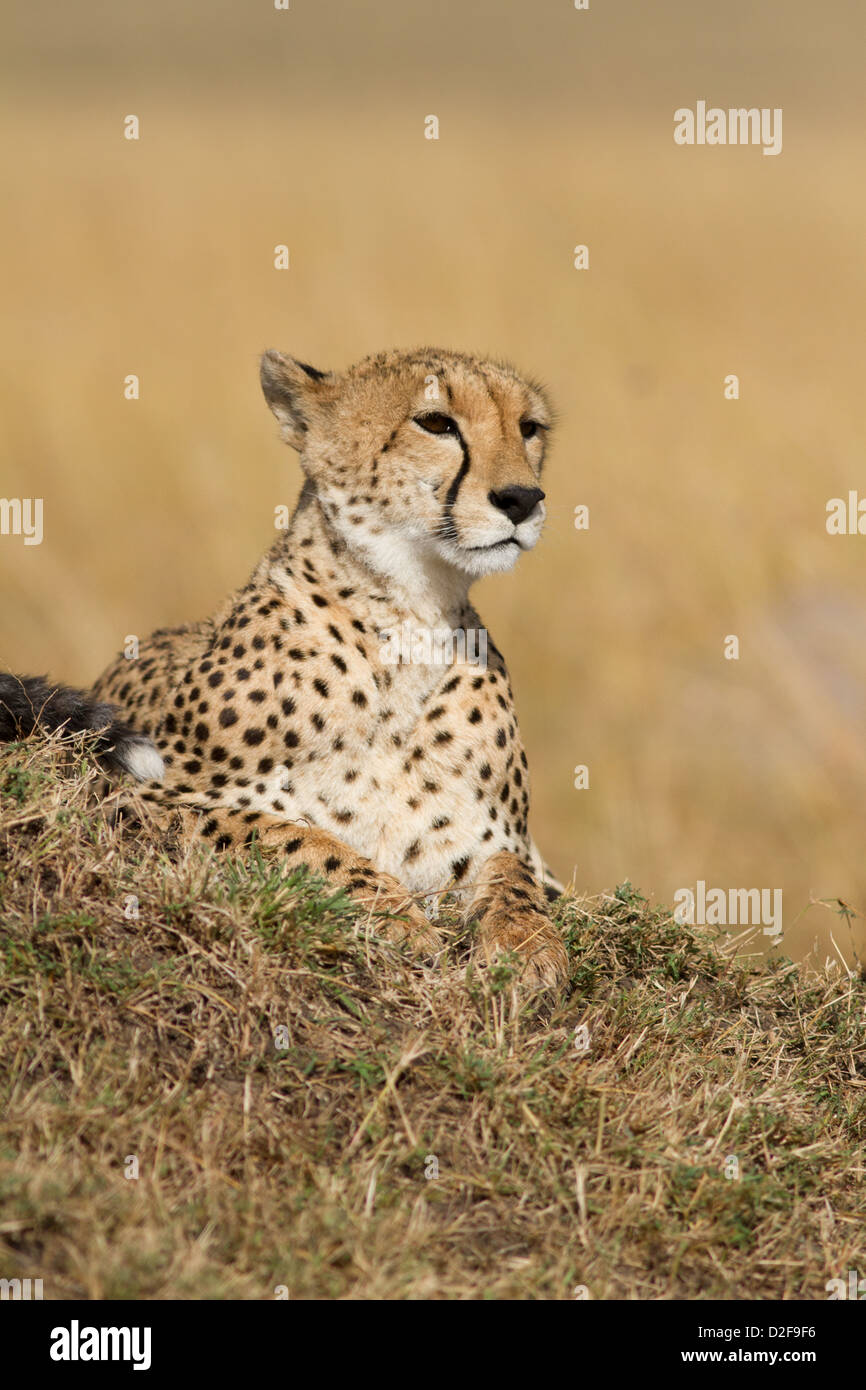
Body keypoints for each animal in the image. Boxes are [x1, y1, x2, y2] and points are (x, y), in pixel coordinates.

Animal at [6, 353, 572, 995]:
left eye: (529, 428)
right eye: (436, 423)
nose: (522, 498)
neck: (412, 614)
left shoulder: (497, 840)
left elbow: (513, 877)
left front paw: (527, 942)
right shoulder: (140, 800)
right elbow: (290, 834)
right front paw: (397, 918)